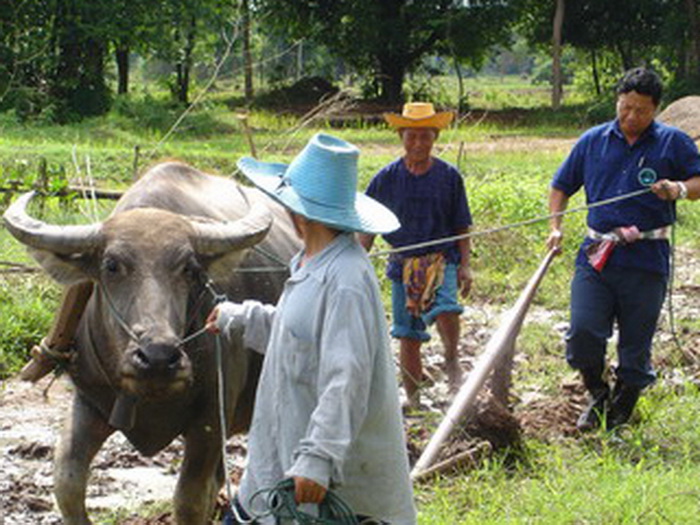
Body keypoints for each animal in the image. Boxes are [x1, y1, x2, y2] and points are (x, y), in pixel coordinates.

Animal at [2, 162, 300, 520]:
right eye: (111, 265)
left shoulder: (211, 421)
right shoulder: (90, 402)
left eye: (189, 268)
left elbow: (189, 500)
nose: (158, 357)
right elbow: (67, 483)